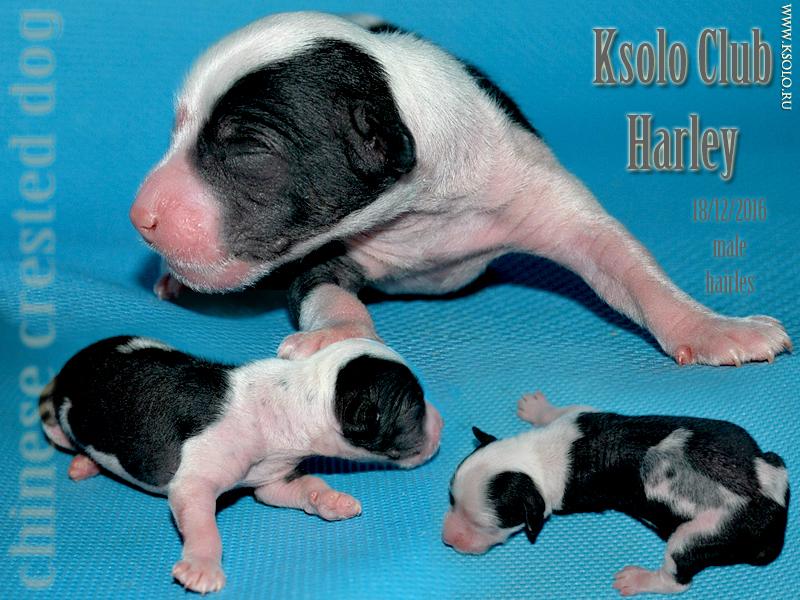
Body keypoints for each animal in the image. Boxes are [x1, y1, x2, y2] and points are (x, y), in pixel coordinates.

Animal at [39, 335, 442, 593]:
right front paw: (202, 566)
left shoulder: (273, 478)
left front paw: (330, 500)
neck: (297, 396)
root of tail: (70, 367)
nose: (442, 423)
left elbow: (306, 486)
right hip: (57, 420)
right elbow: (203, 526)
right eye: (415, 407)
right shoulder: (195, 482)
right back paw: (84, 461)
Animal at [129, 12, 791, 366]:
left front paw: (714, 327)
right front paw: (338, 336)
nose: (140, 217)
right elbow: (326, 292)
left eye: (249, 148)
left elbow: (623, 260)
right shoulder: (322, 251)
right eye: (176, 128)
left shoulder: (527, 180)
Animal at [443, 391, 789, 595]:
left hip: (702, 534)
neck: (537, 458)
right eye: (451, 500)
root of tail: (774, 511)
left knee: (677, 577)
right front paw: (538, 408)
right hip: (774, 463)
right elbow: (565, 409)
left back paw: (638, 580)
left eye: (486, 527)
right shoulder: (580, 414)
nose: (447, 539)